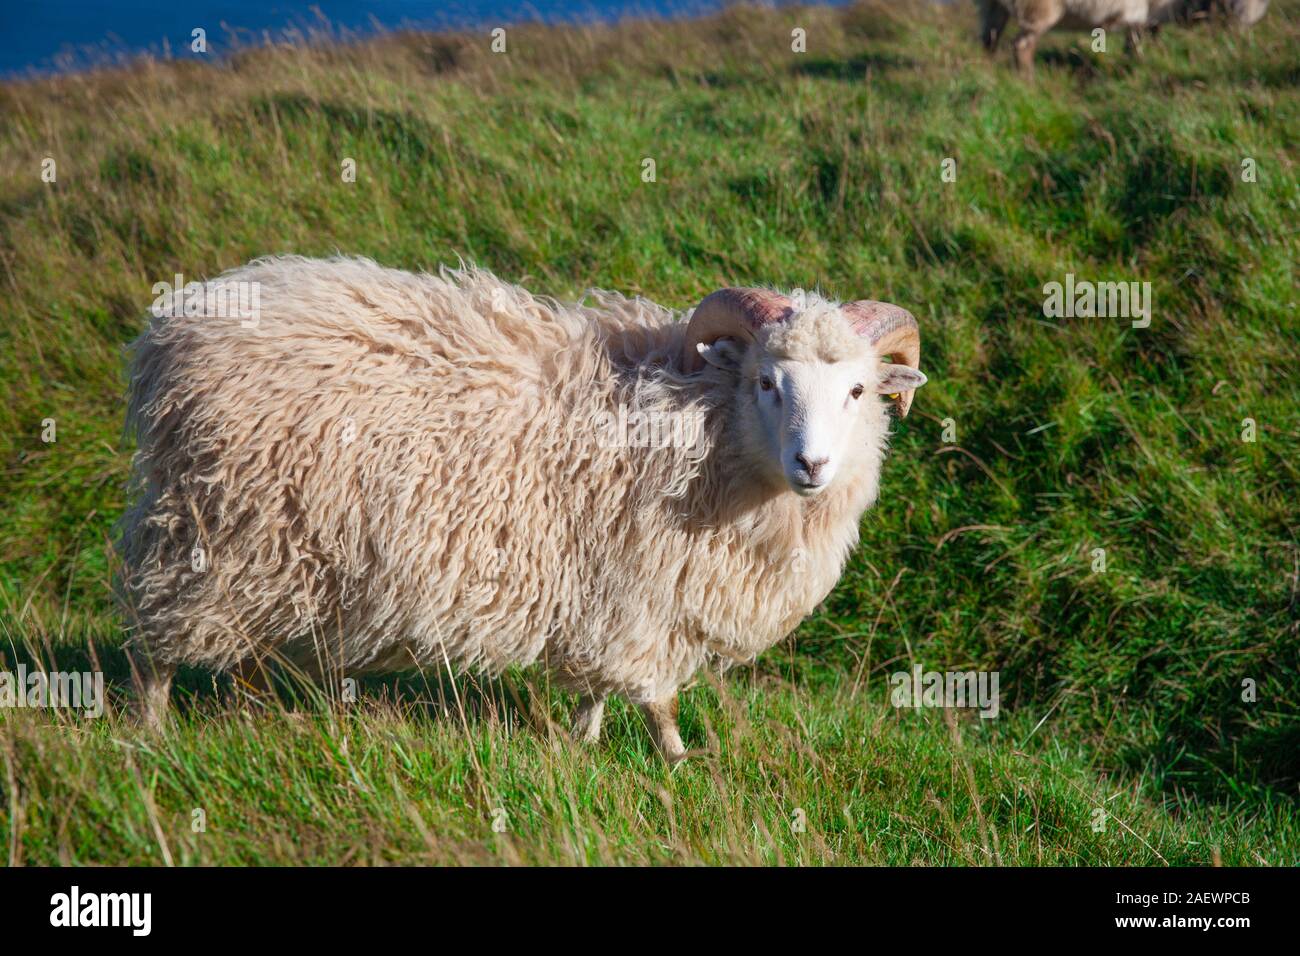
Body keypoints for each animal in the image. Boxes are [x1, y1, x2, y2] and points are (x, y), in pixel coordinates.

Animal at [116, 256, 925, 764]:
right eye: (765, 381)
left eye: (857, 391)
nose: (813, 466)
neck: (704, 427)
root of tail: (170, 336)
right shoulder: (643, 585)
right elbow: (656, 695)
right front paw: (681, 761)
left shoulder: (616, 592)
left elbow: (601, 683)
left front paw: (581, 741)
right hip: (212, 530)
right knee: (156, 639)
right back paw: (149, 736)